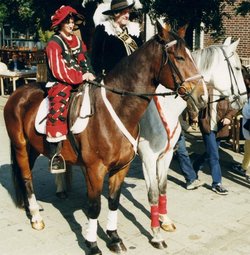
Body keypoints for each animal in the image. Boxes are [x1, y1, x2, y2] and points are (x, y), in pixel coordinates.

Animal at [3, 22, 207, 255]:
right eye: (179, 57)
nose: (202, 97)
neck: (117, 110)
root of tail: (19, 93)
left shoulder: (122, 167)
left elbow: (113, 202)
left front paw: (114, 237)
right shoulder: (97, 169)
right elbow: (95, 207)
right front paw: (92, 244)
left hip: (34, 148)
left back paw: (35, 207)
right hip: (20, 145)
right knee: (26, 177)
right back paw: (36, 216)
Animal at [138, 36, 247, 248]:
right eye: (238, 68)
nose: (244, 100)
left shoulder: (164, 154)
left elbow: (162, 186)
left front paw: (165, 220)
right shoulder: (148, 157)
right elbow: (152, 192)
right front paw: (156, 234)